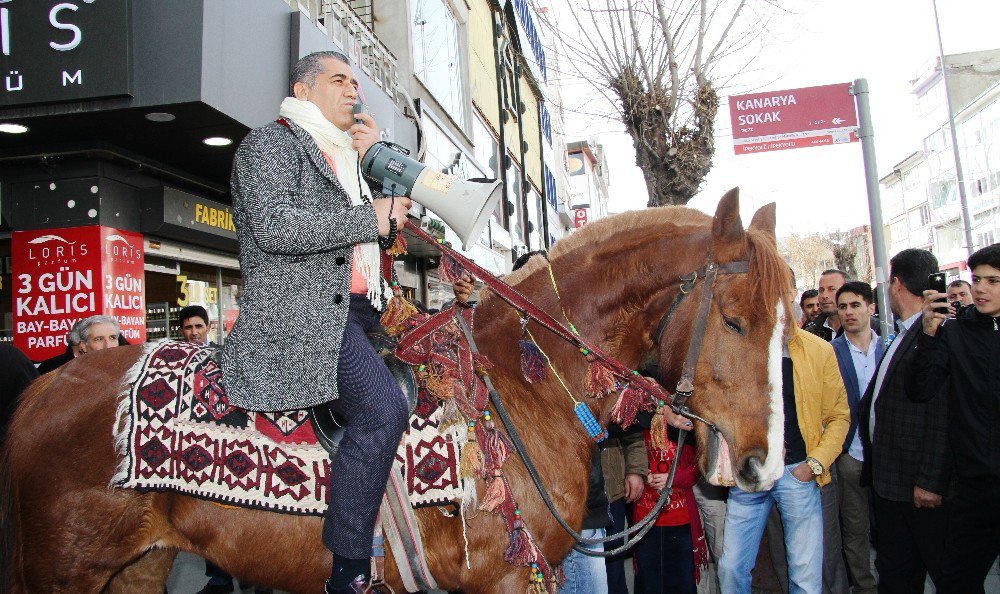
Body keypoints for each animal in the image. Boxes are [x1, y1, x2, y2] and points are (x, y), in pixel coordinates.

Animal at [1, 187, 796, 588]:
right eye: (735, 320)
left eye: (786, 326)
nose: (762, 464)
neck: (523, 386)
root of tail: (45, 391)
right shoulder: (503, 582)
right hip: (67, 571)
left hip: (141, 565)